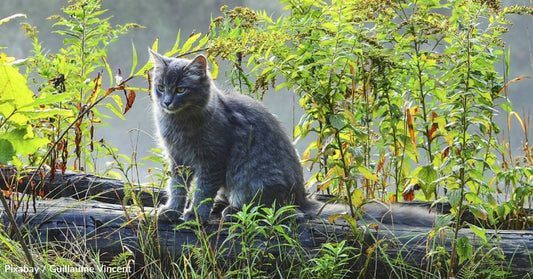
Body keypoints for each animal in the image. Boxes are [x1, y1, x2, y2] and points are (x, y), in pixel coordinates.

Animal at [148, 50, 434, 228]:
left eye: (181, 89)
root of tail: (302, 198)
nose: (166, 102)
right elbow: (177, 188)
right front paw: (172, 210)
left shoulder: (212, 160)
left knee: (282, 212)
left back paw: (232, 211)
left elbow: (202, 192)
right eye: (161, 87)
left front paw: (195, 215)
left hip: (253, 179)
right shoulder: (178, 160)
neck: (180, 124)